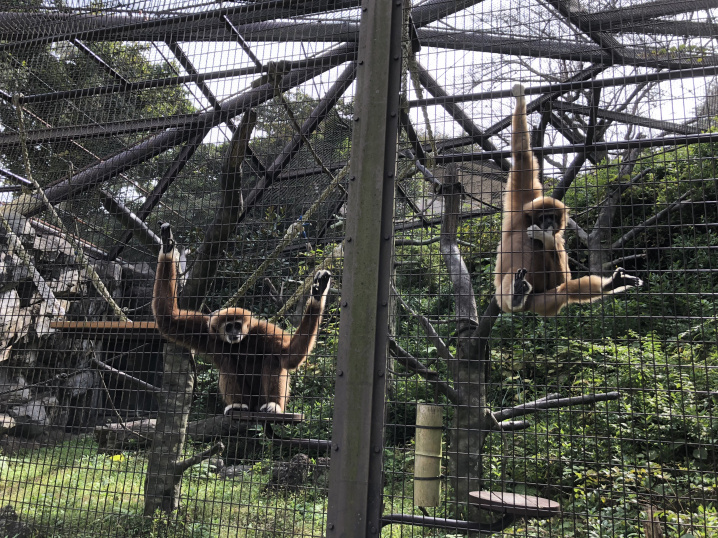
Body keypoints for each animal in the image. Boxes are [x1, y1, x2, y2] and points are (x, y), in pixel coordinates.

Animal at [152, 223, 331, 414]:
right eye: (228, 327)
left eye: (237, 325)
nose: (234, 333)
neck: (243, 342)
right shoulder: (207, 331)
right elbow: (167, 318)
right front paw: (167, 245)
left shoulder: (263, 331)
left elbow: (289, 355)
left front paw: (318, 295)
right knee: (227, 362)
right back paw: (238, 405)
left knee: (273, 359)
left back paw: (273, 405)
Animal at [494, 84, 642, 317]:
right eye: (543, 217)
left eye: (553, 217)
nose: (548, 223)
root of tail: (524, 308)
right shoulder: (521, 208)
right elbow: (522, 157)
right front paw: (520, 99)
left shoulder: (557, 239)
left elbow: (560, 275)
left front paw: (546, 238)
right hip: (503, 297)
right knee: (513, 279)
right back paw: (516, 293)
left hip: (540, 302)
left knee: (564, 290)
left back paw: (611, 284)